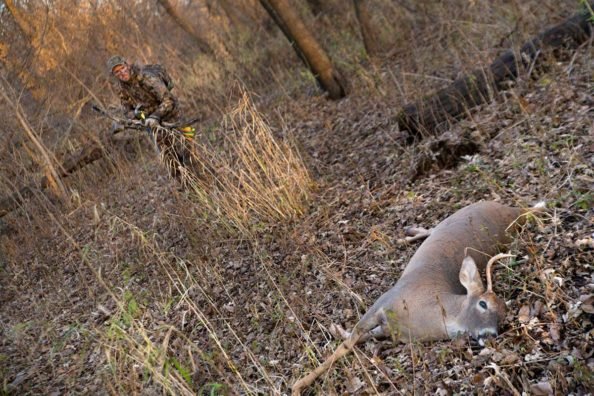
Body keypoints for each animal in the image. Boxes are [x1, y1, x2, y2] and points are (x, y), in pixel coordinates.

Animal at [290, 203, 540, 394]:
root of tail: (519, 209)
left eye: (504, 318)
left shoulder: (392, 331)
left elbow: (358, 339)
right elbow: (348, 342)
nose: (491, 335)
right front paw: (298, 386)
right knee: (430, 229)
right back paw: (406, 234)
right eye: (483, 303)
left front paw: (334, 331)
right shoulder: (384, 302)